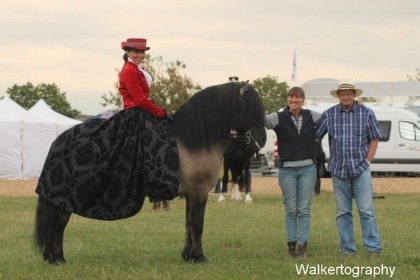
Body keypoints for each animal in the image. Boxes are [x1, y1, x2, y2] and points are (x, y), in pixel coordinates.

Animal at [35, 80, 266, 262]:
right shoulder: (199, 192)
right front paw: (200, 257)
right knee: (59, 222)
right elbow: (198, 224)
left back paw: (55, 256)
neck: (194, 141)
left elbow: (188, 224)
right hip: (68, 195)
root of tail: (58, 141)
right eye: (251, 108)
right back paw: (57, 258)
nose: (262, 140)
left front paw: (188, 256)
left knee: (58, 223)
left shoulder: (190, 193)